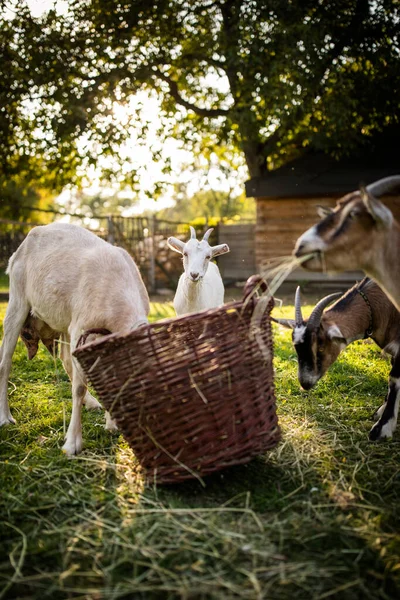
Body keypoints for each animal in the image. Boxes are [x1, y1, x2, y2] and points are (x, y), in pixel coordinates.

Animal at [0, 224, 150, 454]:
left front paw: (111, 424)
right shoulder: (82, 328)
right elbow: (79, 388)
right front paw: (72, 444)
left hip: (64, 320)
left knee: (65, 360)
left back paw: (91, 403)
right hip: (18, 299)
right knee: (5, 362)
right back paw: (6, 418)